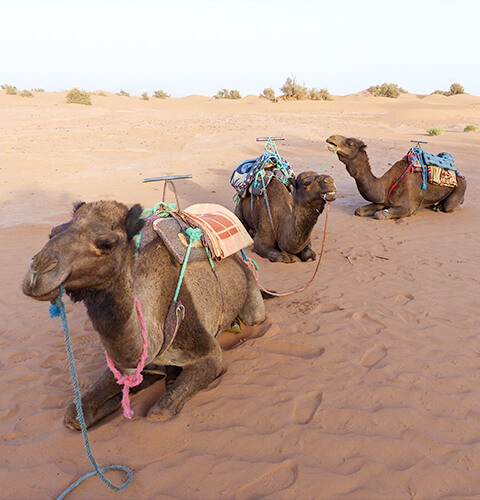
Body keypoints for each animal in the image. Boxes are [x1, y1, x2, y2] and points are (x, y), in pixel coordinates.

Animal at [22, 201, 264, 428]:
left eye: (107, 244)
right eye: (53, 232)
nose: (36, 273)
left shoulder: (209, 354)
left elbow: (159, 412)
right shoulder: (126, 367)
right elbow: (73, 414)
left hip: (250, 291)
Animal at [326, 135, 464, 219]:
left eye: (349, 144)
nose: (331, 138)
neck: (387, 184)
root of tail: (461, 175)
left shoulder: (407, 207)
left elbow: (380, 214)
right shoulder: (384, 200)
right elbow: (359, 210)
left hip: (460, 188)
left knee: (448, 206)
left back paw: (438, 206)